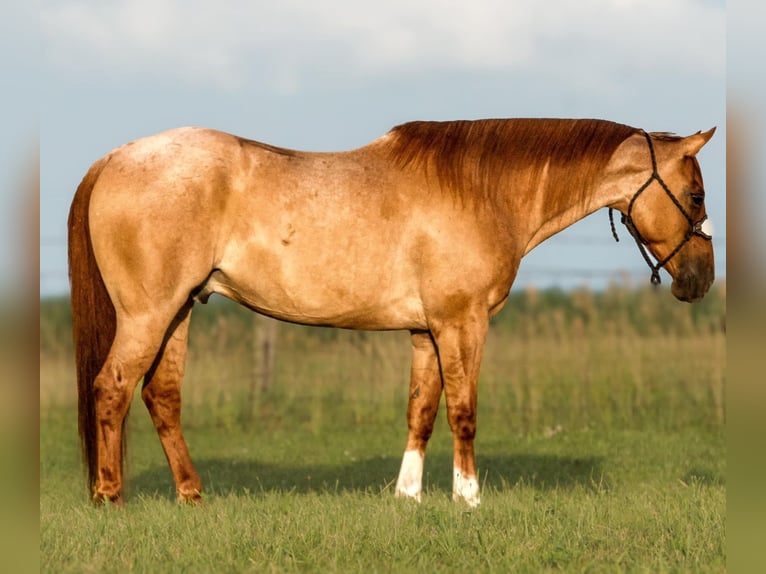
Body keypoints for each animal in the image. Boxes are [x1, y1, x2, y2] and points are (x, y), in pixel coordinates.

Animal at [69, 119, 716, 506]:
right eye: (696, 194)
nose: (701, 279)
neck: (479, 191)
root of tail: (113, 159)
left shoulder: (424, 331)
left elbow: (420, 411)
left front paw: (408, 497)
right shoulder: (462, 323)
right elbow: (462, 412)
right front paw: (468, 498)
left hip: (180, 311)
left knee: (161, 397)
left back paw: (192, 496)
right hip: (149, 314)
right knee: (113, 388)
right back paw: (110, 497)